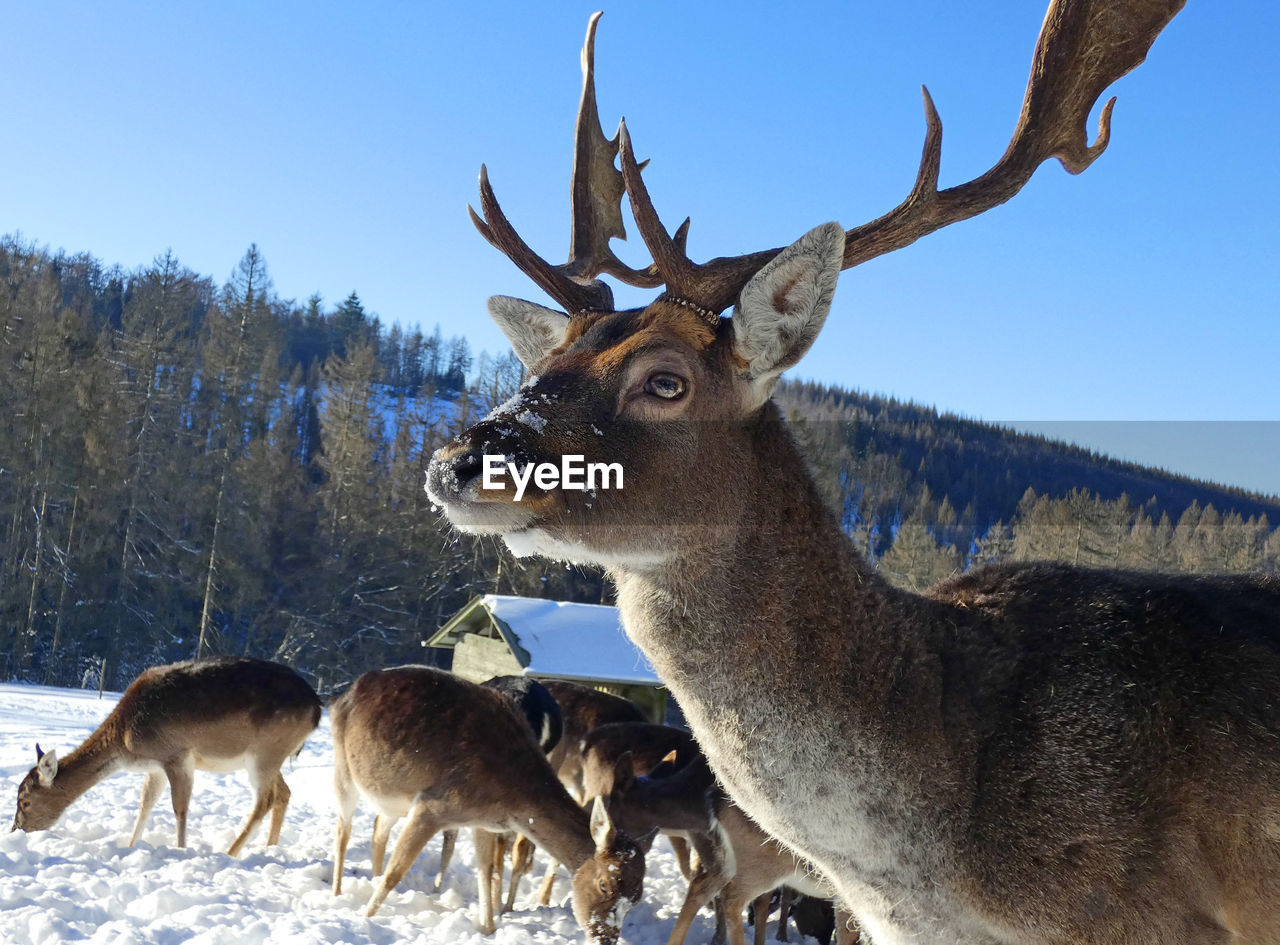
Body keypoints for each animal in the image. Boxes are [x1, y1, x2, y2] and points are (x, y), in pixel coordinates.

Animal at [11, 655, 320, 855]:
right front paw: (130, 846)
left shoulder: (177, 756)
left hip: (265, 752)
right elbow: (145, 804)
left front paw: (181, 851)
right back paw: (270, 848)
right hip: (271, 756)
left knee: (265, 799)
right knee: (284, 792)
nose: (16, 829)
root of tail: (317, 708)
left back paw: (230, 852)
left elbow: (179, 808)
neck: (125, 742)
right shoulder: (155, 767)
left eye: (25, 801)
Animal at [330, 660, 650, 937]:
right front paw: (365, 918)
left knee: (378, 827)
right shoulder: (432, 806)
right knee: (344, 828)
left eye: (636, 899)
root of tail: (345, 693)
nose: (605, 936)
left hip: (391, 797)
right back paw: (337, 892)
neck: (509, 799)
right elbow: (397, 870)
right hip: (344, 768)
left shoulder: (481, 822)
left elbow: (485, 871)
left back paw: (369, 876)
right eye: (605, 884)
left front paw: (488, 927)